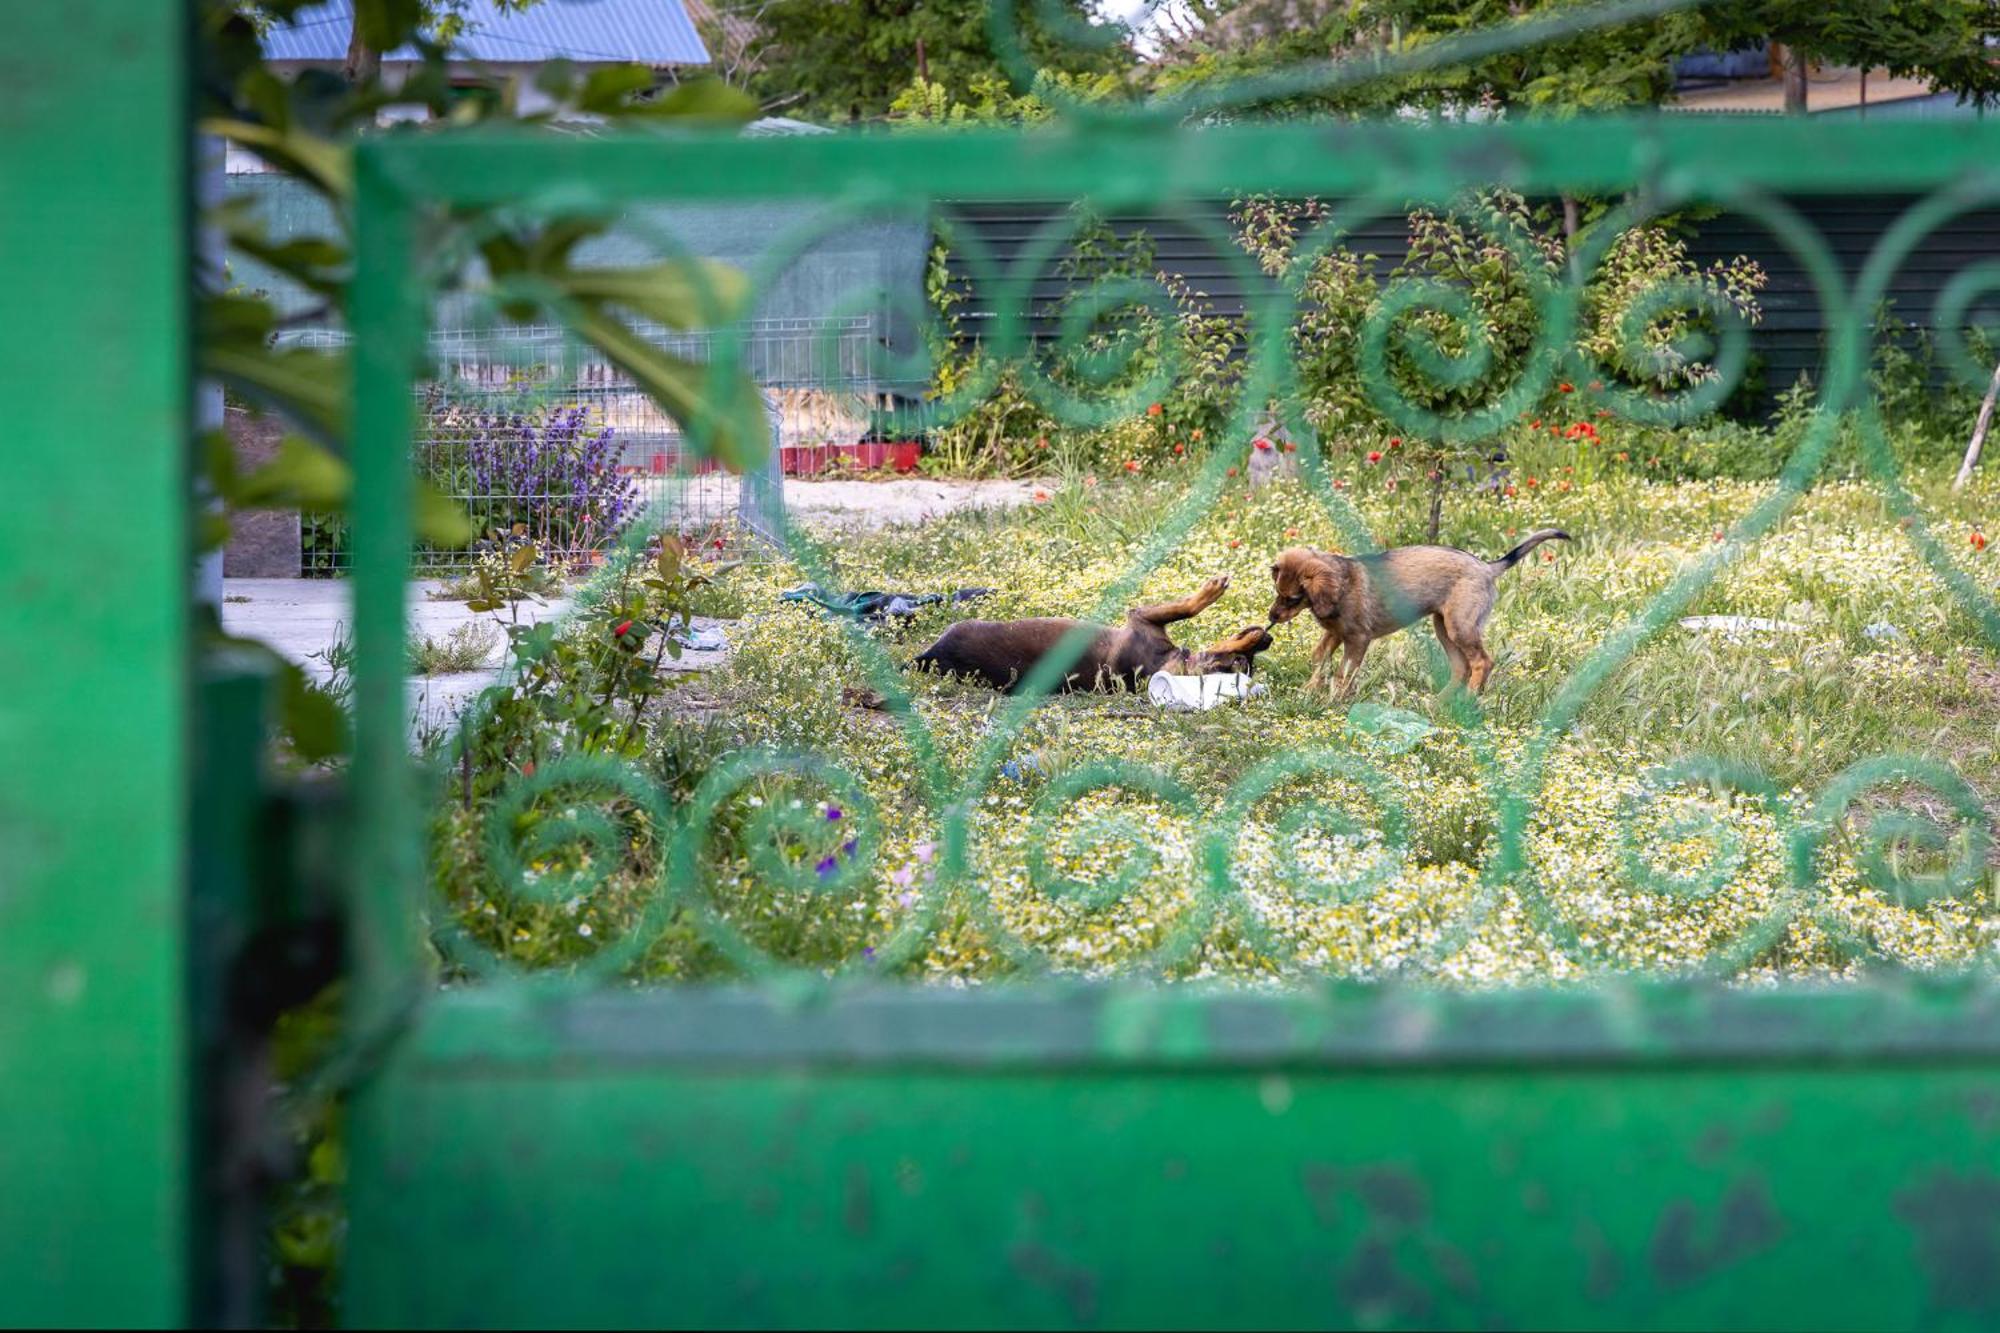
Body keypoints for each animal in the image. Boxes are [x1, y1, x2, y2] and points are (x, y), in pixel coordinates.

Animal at [916, 572, 1272, 688]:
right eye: (1244, 659)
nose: (1268, 637)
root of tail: (927, 657)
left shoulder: (1140, 618)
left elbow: (1187, 606)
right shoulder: (1143, 618)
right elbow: (1188, 607)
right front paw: (1213, 589)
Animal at [1272, 528, 1568, 696]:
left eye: (1293, 598)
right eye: (1277, 592)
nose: (1270, 618)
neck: (1342, 585)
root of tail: (1487, 567)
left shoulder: (1357, 639)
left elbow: (1343, 673)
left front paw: (1334, 700)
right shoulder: (1335, 634)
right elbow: (1319, 658)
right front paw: (1309, 691)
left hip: (1460, 627)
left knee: (1482, 662)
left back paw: (1470, 698)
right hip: (1443, 627)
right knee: (1461, 667)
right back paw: (1440, 704)